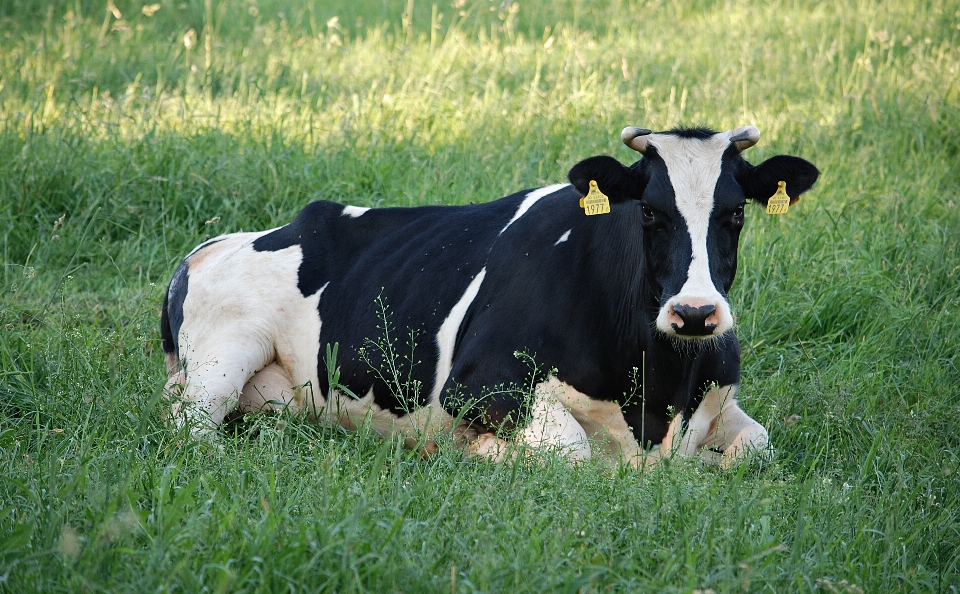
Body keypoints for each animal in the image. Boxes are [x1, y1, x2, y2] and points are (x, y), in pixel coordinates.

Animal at [161, 126, 820, 468]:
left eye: (736, 214)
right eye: (651, 213)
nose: (694, 313)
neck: (658, 396)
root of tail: (214, 245)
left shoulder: (720, 398)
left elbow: (757, 446)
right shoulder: (479, 386)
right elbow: (571, 450)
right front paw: (484, 454)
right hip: (224, 354)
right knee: (190, 426)